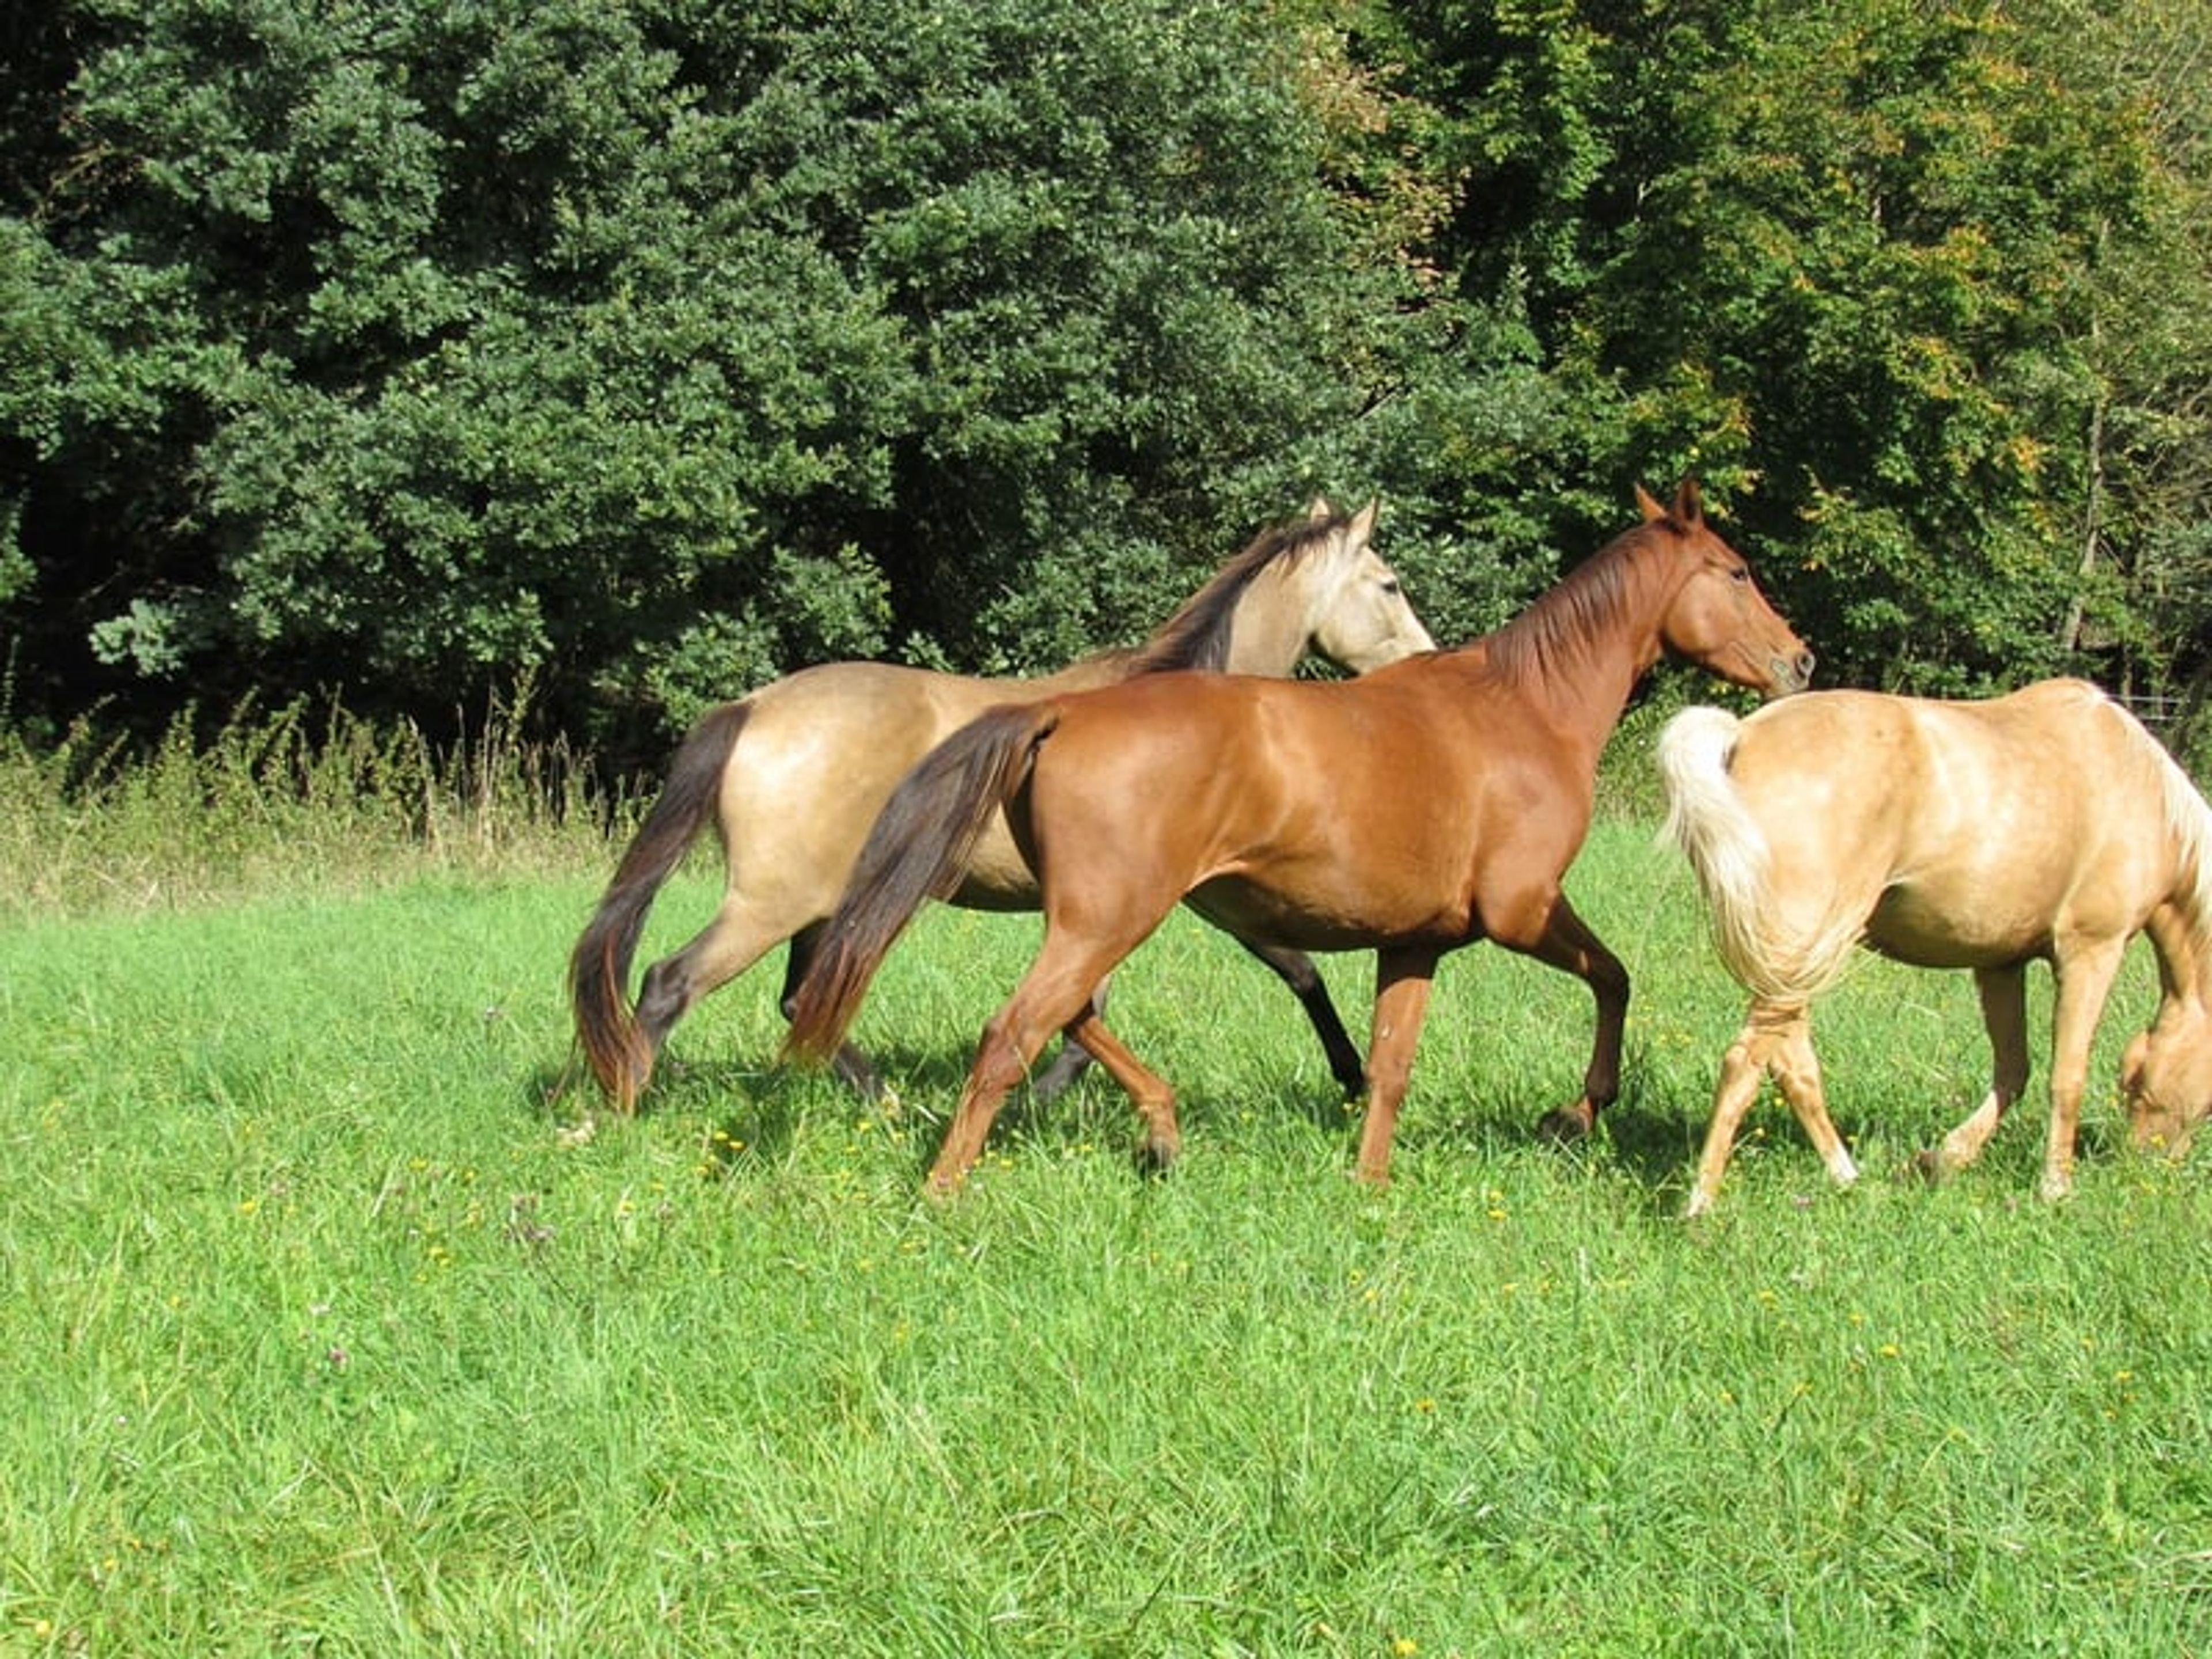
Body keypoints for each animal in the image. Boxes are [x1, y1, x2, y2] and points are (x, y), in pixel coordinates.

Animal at [569, 501, 1434, 1113]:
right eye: (1389, 583)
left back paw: (891, 1109)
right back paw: (618, 1108)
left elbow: (1285, 973)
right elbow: (1278, 974)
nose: (1427, 659)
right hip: (773, 902)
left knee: (800, 1000)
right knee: (670, 982)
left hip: (825, 904)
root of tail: (752, 708)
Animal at [783, 480, 1814, 1193]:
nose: (1800, 660)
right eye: (1735, 571)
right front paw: (1581, 1109)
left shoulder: (1417, 941)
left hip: (1095, 920)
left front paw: (1370, 1178)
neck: (1528, 708)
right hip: (1108, 918)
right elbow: (1615, 979)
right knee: (1014, 1033)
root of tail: (1062, 713)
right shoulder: (1523, 910)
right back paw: (945, 1189)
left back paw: (1160, 1131)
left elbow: (1391, 1066)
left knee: (1064, 1018)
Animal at [1657, 679, 2212, 1217]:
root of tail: (1739, 737)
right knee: (1746, 1062)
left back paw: (1848, 1178)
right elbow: (2066, 1076)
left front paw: (1941, 1159)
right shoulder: (2091, 951)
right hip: (1799, 954)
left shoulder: (2000, 965)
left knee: (1792, 1064)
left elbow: (2014, 1071)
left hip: (1795, 964)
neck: (2136, 784)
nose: (2151, 1163)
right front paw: (2056, 1188)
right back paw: (1701, 1205)